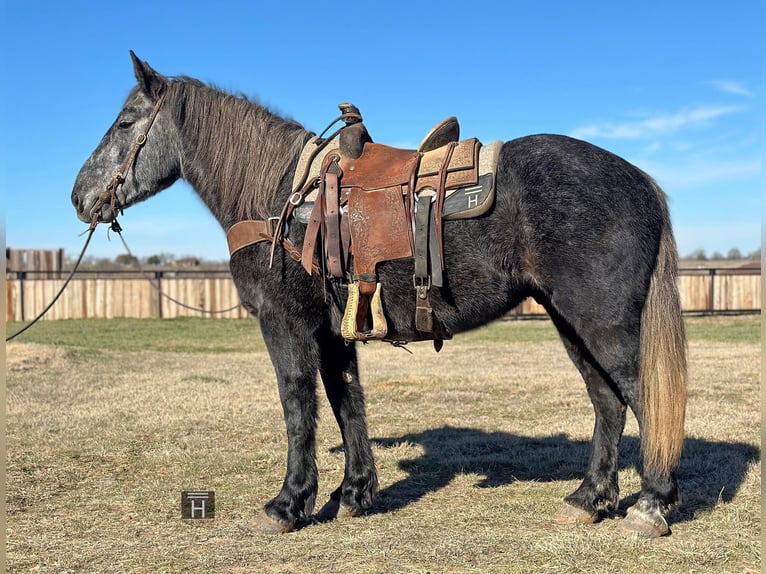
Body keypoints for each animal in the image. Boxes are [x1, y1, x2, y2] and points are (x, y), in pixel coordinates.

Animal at [72, 51, 688, 536]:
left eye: (125, 122)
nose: (80, 197)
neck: (281, 199)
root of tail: (642, 182)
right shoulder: (333, 333)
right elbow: (347, 403)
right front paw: (354, 494)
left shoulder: (285, 324)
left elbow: (297, 404)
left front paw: (289, 504)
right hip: (570, 322)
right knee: (607, 402)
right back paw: (589, 499)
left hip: (603, 323)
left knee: (642, 396)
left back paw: (651, 505)